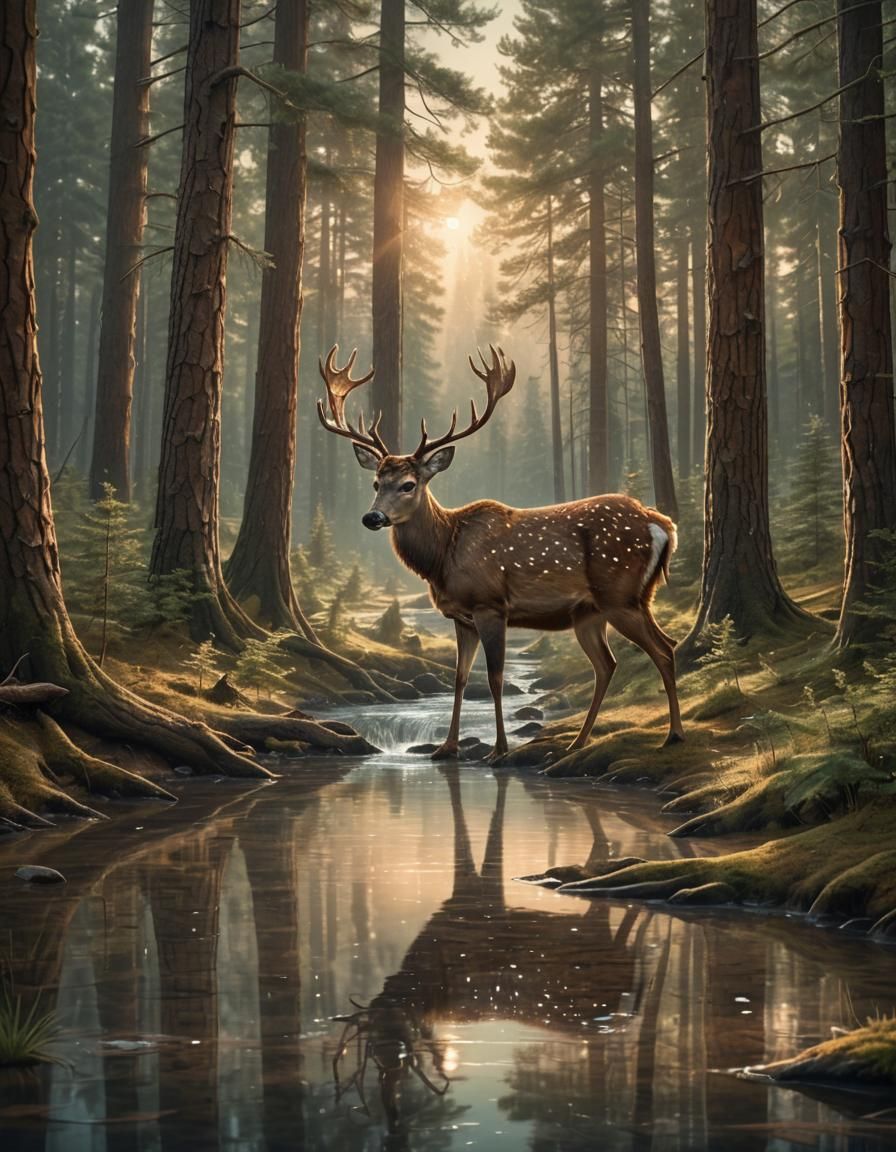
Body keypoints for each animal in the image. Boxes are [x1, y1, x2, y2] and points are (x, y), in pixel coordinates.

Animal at [317, 344, 684, 763]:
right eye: (376, 482)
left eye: (409, 484)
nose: (372, 517)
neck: (443, 556)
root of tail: (663, 525)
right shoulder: (460, 617)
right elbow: (460, 679)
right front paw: (446, 747)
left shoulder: (490, 604)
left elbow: (494, 678)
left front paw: (499, 749)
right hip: (591, 612)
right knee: (609, 664)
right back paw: (578, 741)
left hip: (621, 595)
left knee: (663, 649)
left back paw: (673, 734)